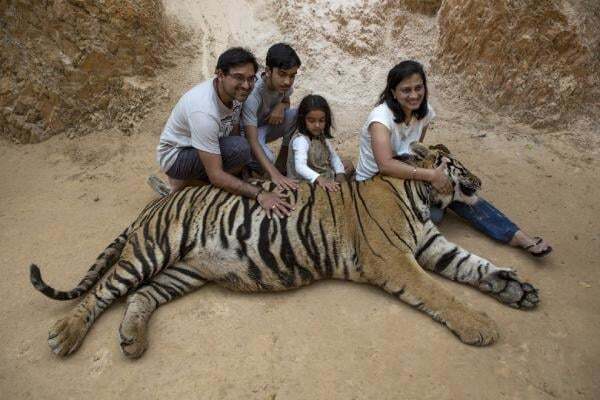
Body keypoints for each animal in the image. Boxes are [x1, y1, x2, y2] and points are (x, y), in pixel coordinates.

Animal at [29, 142, 540, 358]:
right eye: (459, 165)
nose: (481, 180)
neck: (418, 194)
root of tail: (156, 201)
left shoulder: (432, 246)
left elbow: (477, 267)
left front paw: (519, 291)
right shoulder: (396, 259)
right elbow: (444, 295)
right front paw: (481, 326)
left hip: (184, 271)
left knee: (140, 296)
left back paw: (132, 341)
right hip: (151, 250)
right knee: (103, 293)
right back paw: (65, 336)